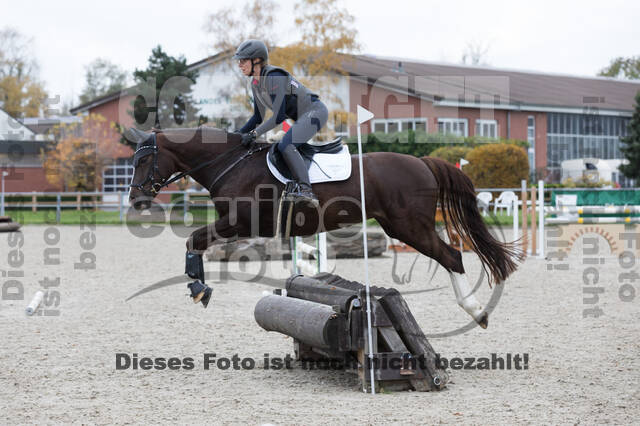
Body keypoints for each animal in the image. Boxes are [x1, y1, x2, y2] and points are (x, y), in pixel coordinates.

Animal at [129, 125, 520, 328]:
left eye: (144, 160)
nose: (135, 200)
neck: (231, 162)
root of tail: (423, 161)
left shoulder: (240, 221)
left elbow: (194, 240)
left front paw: (199, 288)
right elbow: (194, 242)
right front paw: (197, 286)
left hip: (409, 228)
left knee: (453, 256)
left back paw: (477, 312)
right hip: (403, 227)